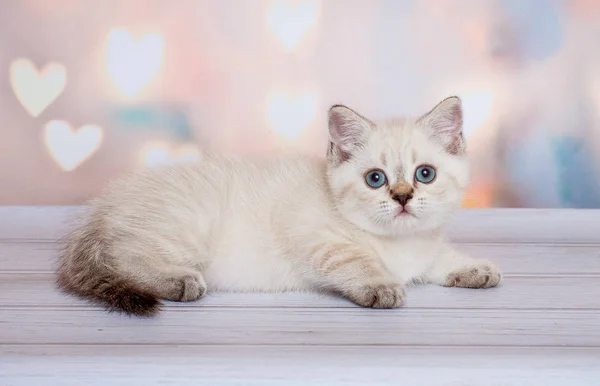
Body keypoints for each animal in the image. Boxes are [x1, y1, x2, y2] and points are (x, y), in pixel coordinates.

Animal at [57, 96, 502, 316]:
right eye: (375, 179)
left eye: (424, 174)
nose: (403, 196)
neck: (399, 243)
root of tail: (101, 208)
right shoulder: (316, 239)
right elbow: (355, 261)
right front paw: (380, 285)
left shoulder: (425, 247)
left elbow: (440, 257)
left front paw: (476, 269)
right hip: (183, 231)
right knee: (126, 258)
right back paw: (179, 281)